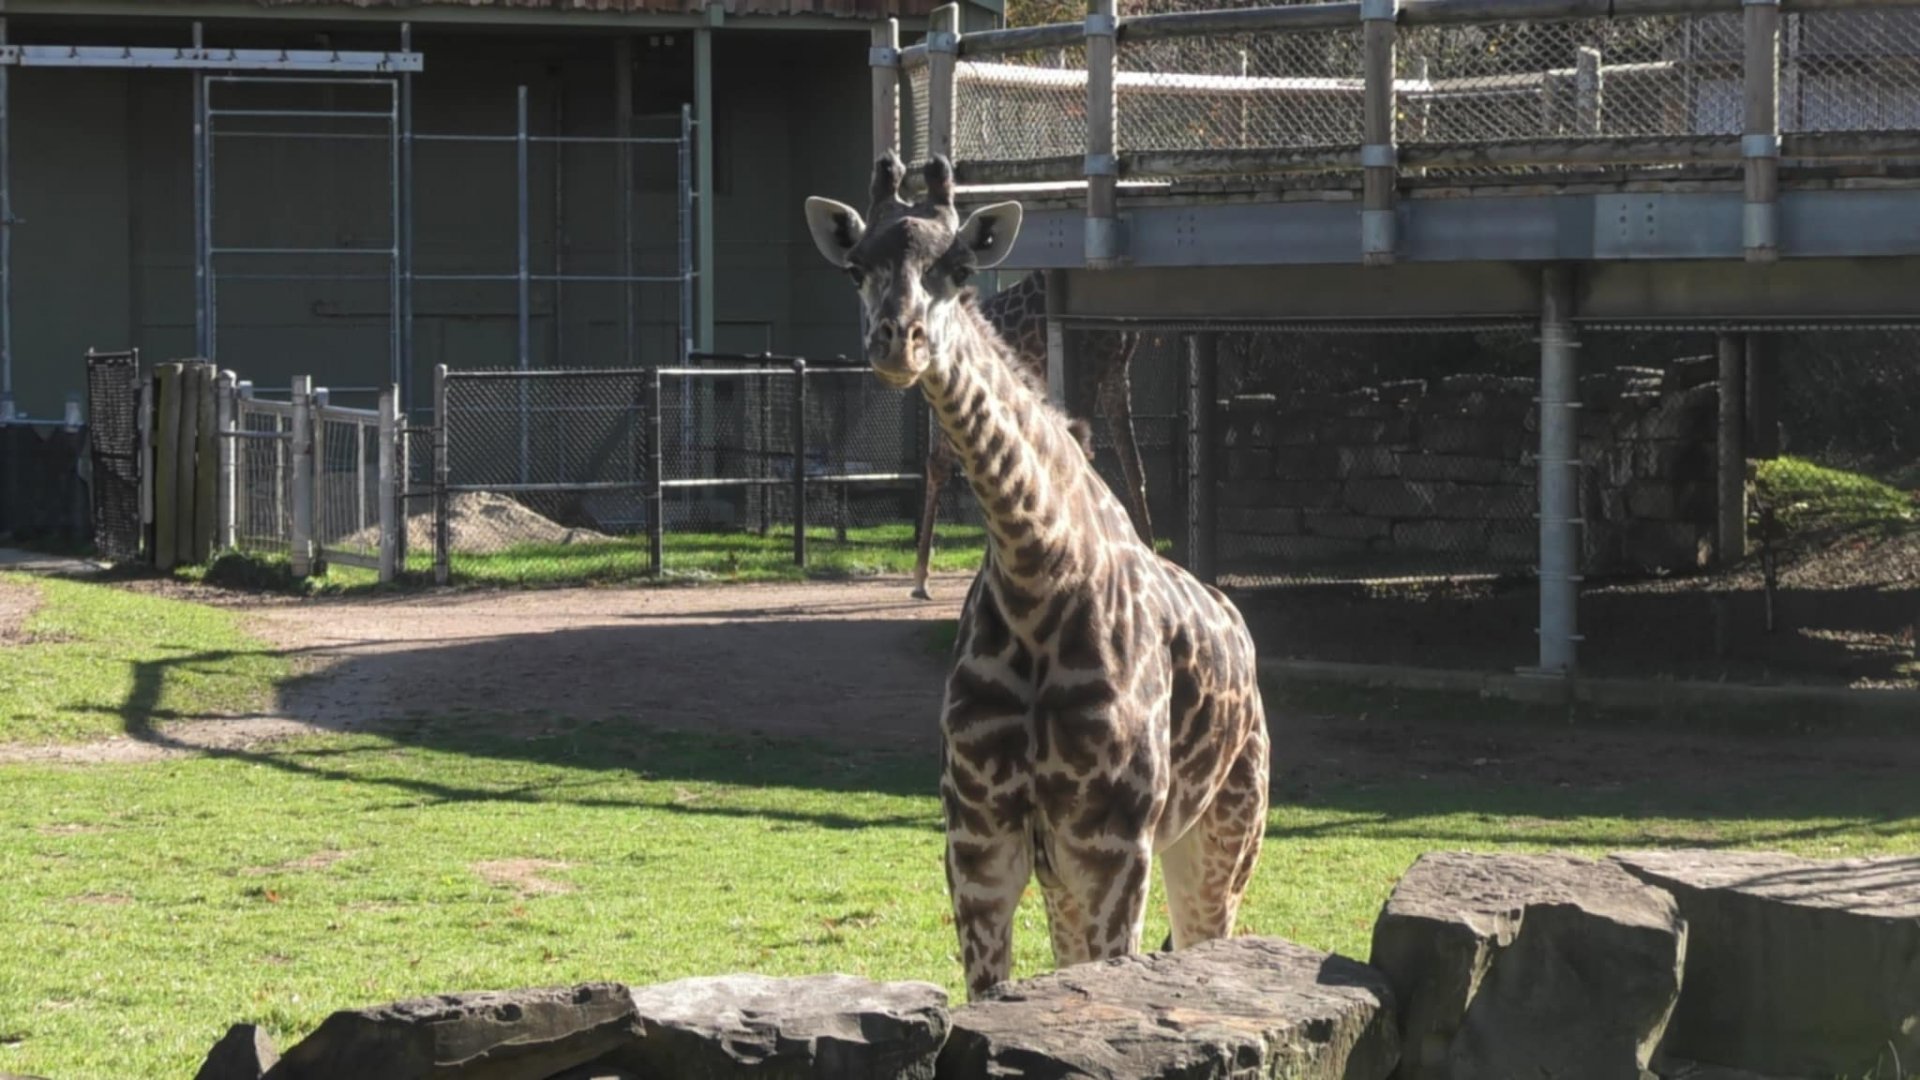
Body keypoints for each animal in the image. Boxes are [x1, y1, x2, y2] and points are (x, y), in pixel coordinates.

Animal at [911, 273, 1158, 601]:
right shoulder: (1089, 365)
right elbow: (1082, 454)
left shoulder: (1115, 371)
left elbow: (1134, 470)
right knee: (941, 463)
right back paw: (921, 579)